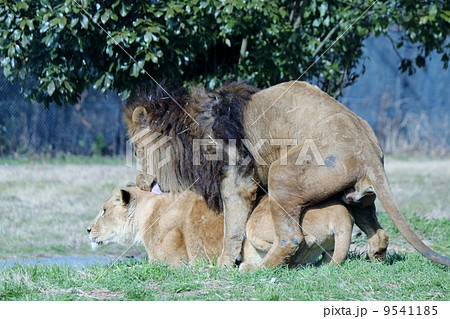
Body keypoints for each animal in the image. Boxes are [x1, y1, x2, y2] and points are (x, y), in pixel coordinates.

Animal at [89, 188, 356, 268]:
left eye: (103, 210)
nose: (88, 230)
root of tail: (341, 212)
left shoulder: (169, 261)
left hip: (254, 223)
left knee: (298, 241)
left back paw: (244, 265)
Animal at [124, 81, 450, 268]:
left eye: (137, 151)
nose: (139, 183)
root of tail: (369, 151)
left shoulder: (237, 183)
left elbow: (231, 230)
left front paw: (222, 267)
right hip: (359, 199)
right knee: (380, 233)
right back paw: (376, 259)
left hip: (282, 173)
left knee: (291, 238)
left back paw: (257, 270)